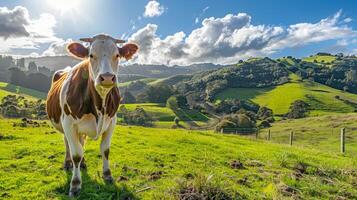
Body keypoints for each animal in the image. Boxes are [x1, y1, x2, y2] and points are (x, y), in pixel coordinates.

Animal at [46, 33, 138, 196]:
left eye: (117, 55)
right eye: (91, 55)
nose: (107, 77)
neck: (99, 105)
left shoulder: (112, 122)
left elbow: (105, 150)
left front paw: (107, 176)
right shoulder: (68, 123)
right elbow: (76, 153)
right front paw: (75, 185)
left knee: (81, 142)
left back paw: (83, 164)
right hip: (64, 125)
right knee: (68, 144)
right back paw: (67, 163)